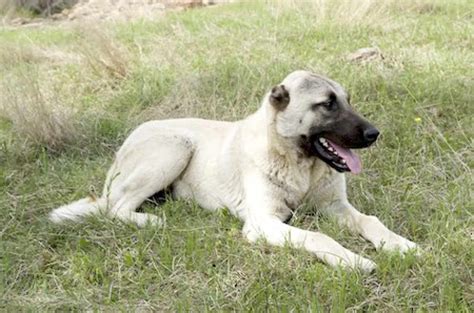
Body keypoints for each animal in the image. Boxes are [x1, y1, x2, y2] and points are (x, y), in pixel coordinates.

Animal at [50, 69, 416, 270]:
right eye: (327, 104)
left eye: (348, 100)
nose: (374, 134)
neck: (298, 164)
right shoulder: (264, 223)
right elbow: (318, 236)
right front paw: (353, 260)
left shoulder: (336, 207)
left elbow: (371, 221)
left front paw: (399, 244)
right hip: (175, 148)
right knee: (115, 208)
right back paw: (151, 220)